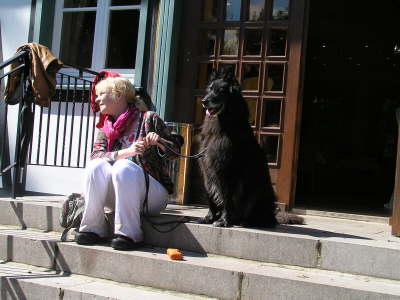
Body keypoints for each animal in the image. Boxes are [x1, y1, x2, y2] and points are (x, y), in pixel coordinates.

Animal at [197, 71, 304, 227]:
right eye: (209, 89)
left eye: (220, 90)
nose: (204, 101)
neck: (223, 126)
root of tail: (273, 217)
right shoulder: (208, 170)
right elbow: (210, 196)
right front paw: (209, 217)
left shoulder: (228, 171)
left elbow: (227, 199)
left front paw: (223, 220)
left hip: (259, 190)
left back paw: (248, 221)